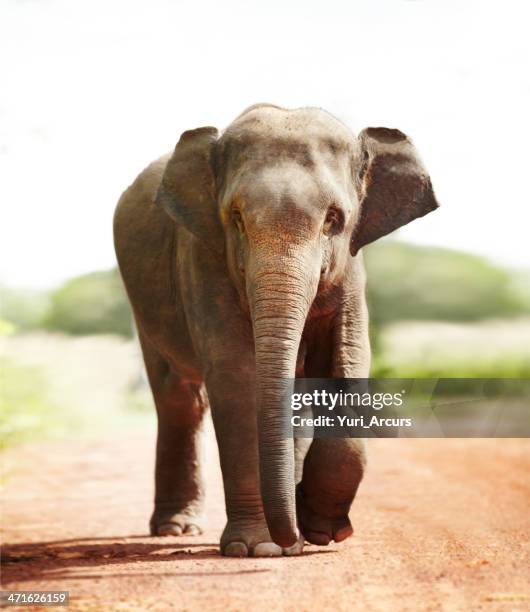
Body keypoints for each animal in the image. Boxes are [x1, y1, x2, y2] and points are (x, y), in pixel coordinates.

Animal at [112, 103, 438, 556]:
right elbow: (237, 378)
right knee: (179, 397)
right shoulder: (203, 257)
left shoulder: (352, 269)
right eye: (236, 218)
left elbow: (346, 366)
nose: (293, 538)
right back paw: (177, 529)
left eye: (334, 219)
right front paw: (260, 548)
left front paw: (319, 531)